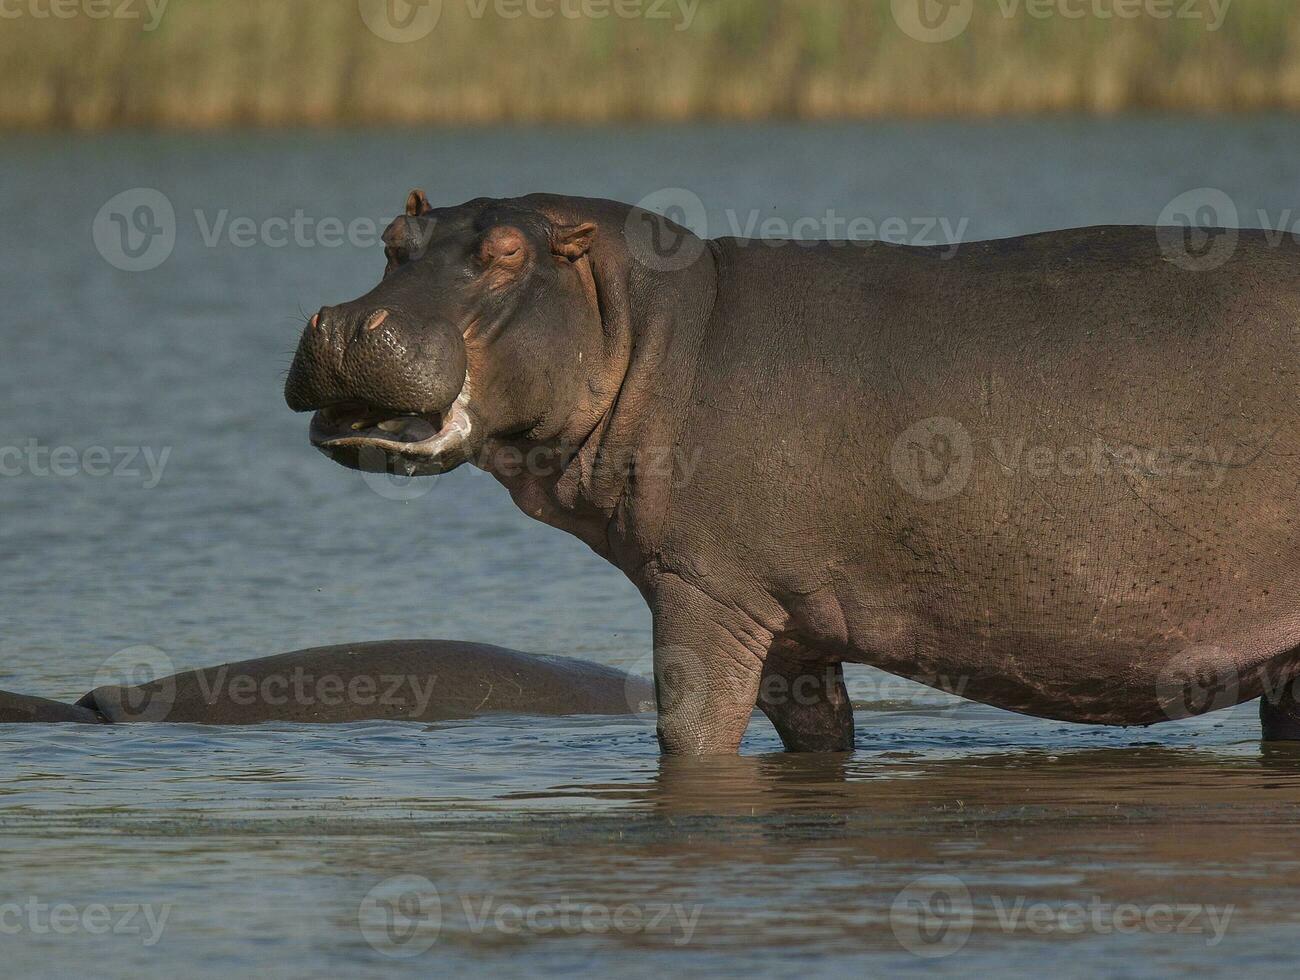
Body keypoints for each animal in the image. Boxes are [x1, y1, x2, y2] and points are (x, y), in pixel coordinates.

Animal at [284, 192, 1300, 753]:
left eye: (504, 256)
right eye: (391, 239)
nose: (348, 322)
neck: (644, 324)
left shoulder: (704, 590)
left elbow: (690, 733)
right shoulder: (785, 620)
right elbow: (819, 732)